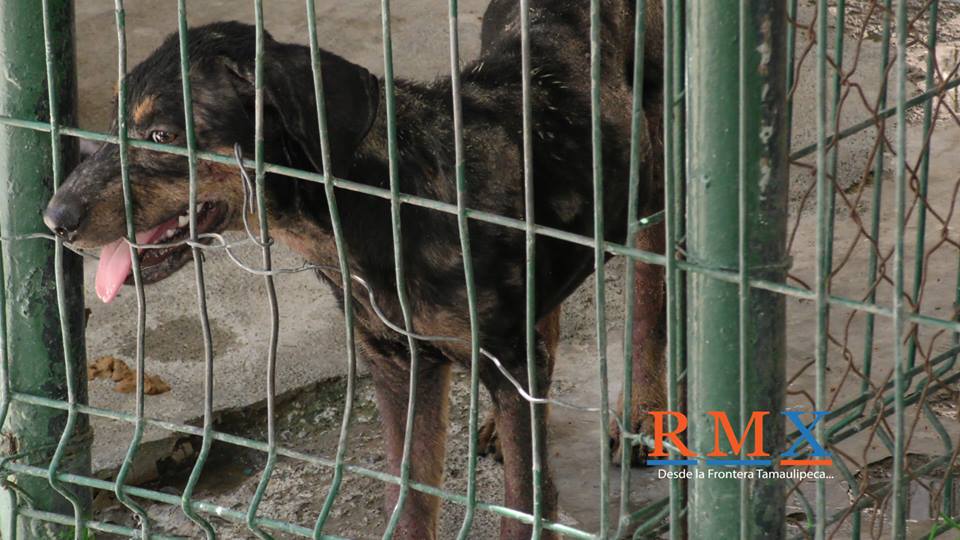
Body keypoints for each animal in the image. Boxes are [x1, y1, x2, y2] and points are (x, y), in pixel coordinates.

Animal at [43, 2, 660, 536]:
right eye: (113, 123)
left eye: (163, 136)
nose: (54, 219)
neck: (386, 202)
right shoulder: (398, 365)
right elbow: (408, 499)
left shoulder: (506, 357)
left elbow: (525, 502)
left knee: (652, 291)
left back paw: (643, 412)